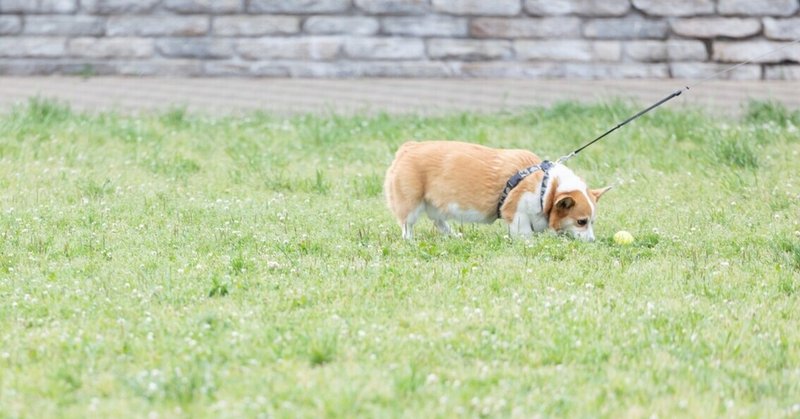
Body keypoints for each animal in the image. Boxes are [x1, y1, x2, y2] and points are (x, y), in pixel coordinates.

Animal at [384, 141, 608, 241]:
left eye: (592, 222)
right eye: (581, 222)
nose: (592, 241)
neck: (546, 188)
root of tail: (407, 147)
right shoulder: (518, 215)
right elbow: (525, 234)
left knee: (439, 221)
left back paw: (454, 236)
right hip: (411, 205)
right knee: (407, 225)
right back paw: (410, 241)